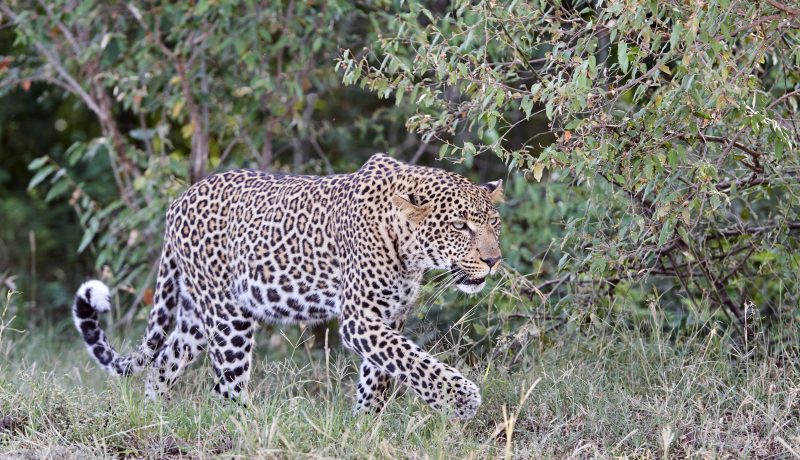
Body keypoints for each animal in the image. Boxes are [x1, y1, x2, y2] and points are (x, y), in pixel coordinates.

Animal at [73, 155, 500, 420]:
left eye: (493, 223)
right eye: (460, 226)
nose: (494, 260)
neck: (409, 249)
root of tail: (178, 202)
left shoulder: (390, 316)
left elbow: (381, 373)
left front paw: (365, 424)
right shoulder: (360, 319)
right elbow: (414, 361)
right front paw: (461, 401)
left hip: (196, 316)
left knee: (165, 359)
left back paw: (152, 416)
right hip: (228, 317)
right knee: (225, 390)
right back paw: (246, 428)